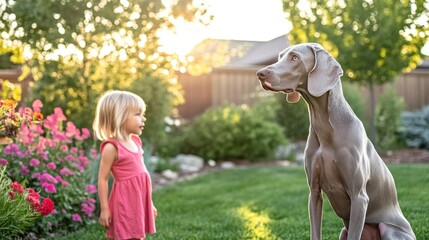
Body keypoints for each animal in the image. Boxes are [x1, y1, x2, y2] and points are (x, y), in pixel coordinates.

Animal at [256, 43, 412, 240]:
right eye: (280, 57)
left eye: (295, 57)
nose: (260, 73)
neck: (326, 127)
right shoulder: (314, 193)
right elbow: (315, 231)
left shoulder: (359, 197)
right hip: (342, 231)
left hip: (388, 229)